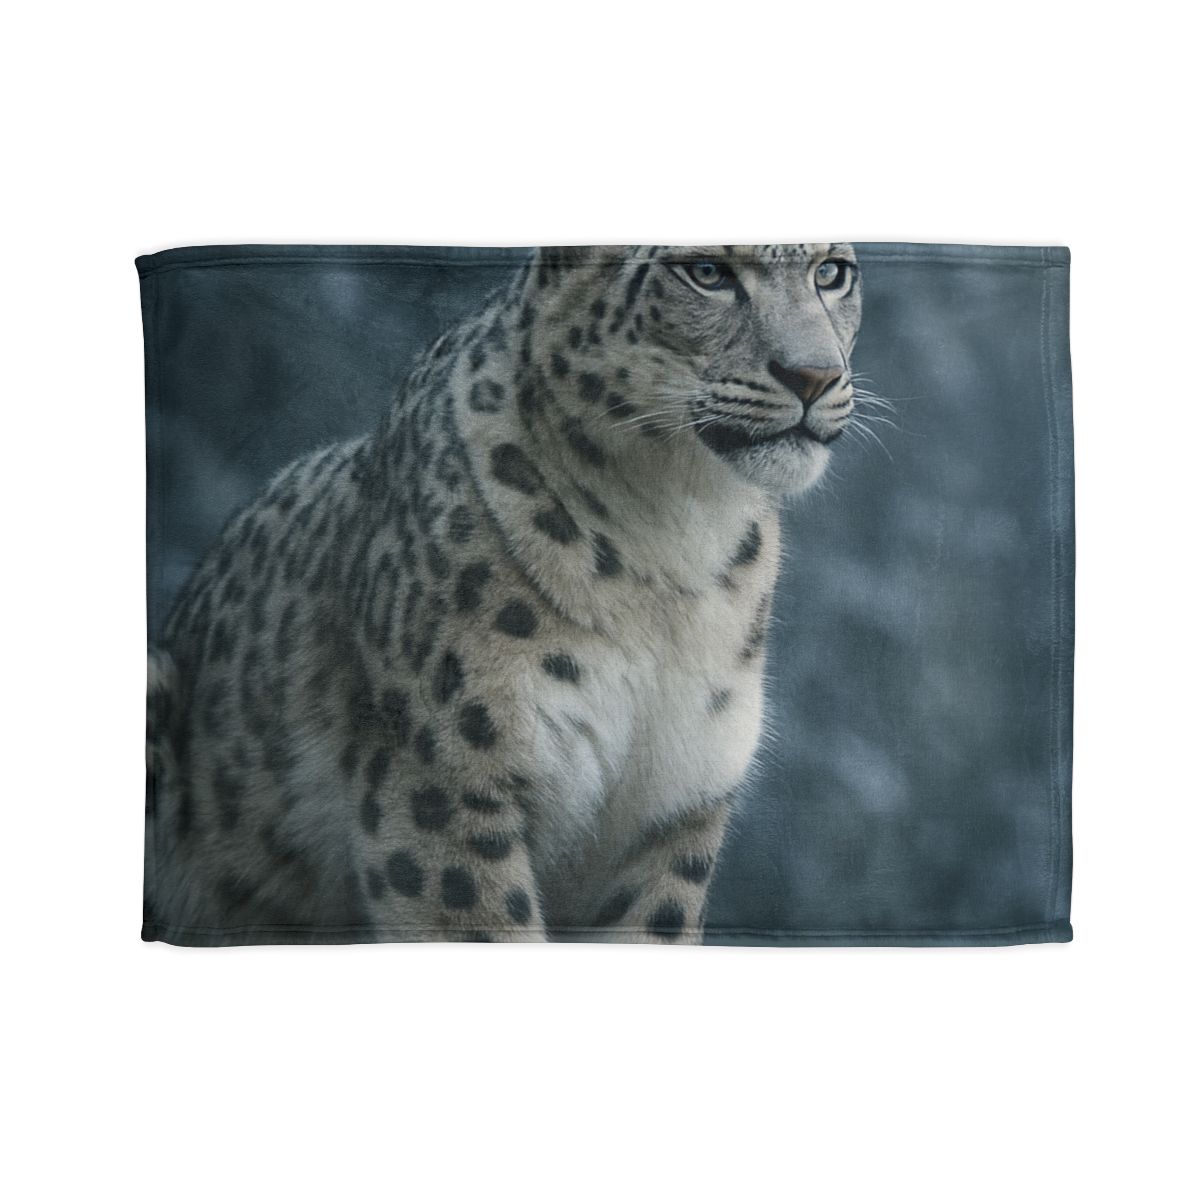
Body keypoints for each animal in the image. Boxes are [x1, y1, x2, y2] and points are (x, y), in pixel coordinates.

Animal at [145, 243, 863, 945]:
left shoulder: (674, 809)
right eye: (707, 272)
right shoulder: (444, 780)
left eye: (831, 271)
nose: (815, 376)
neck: (679, 535)